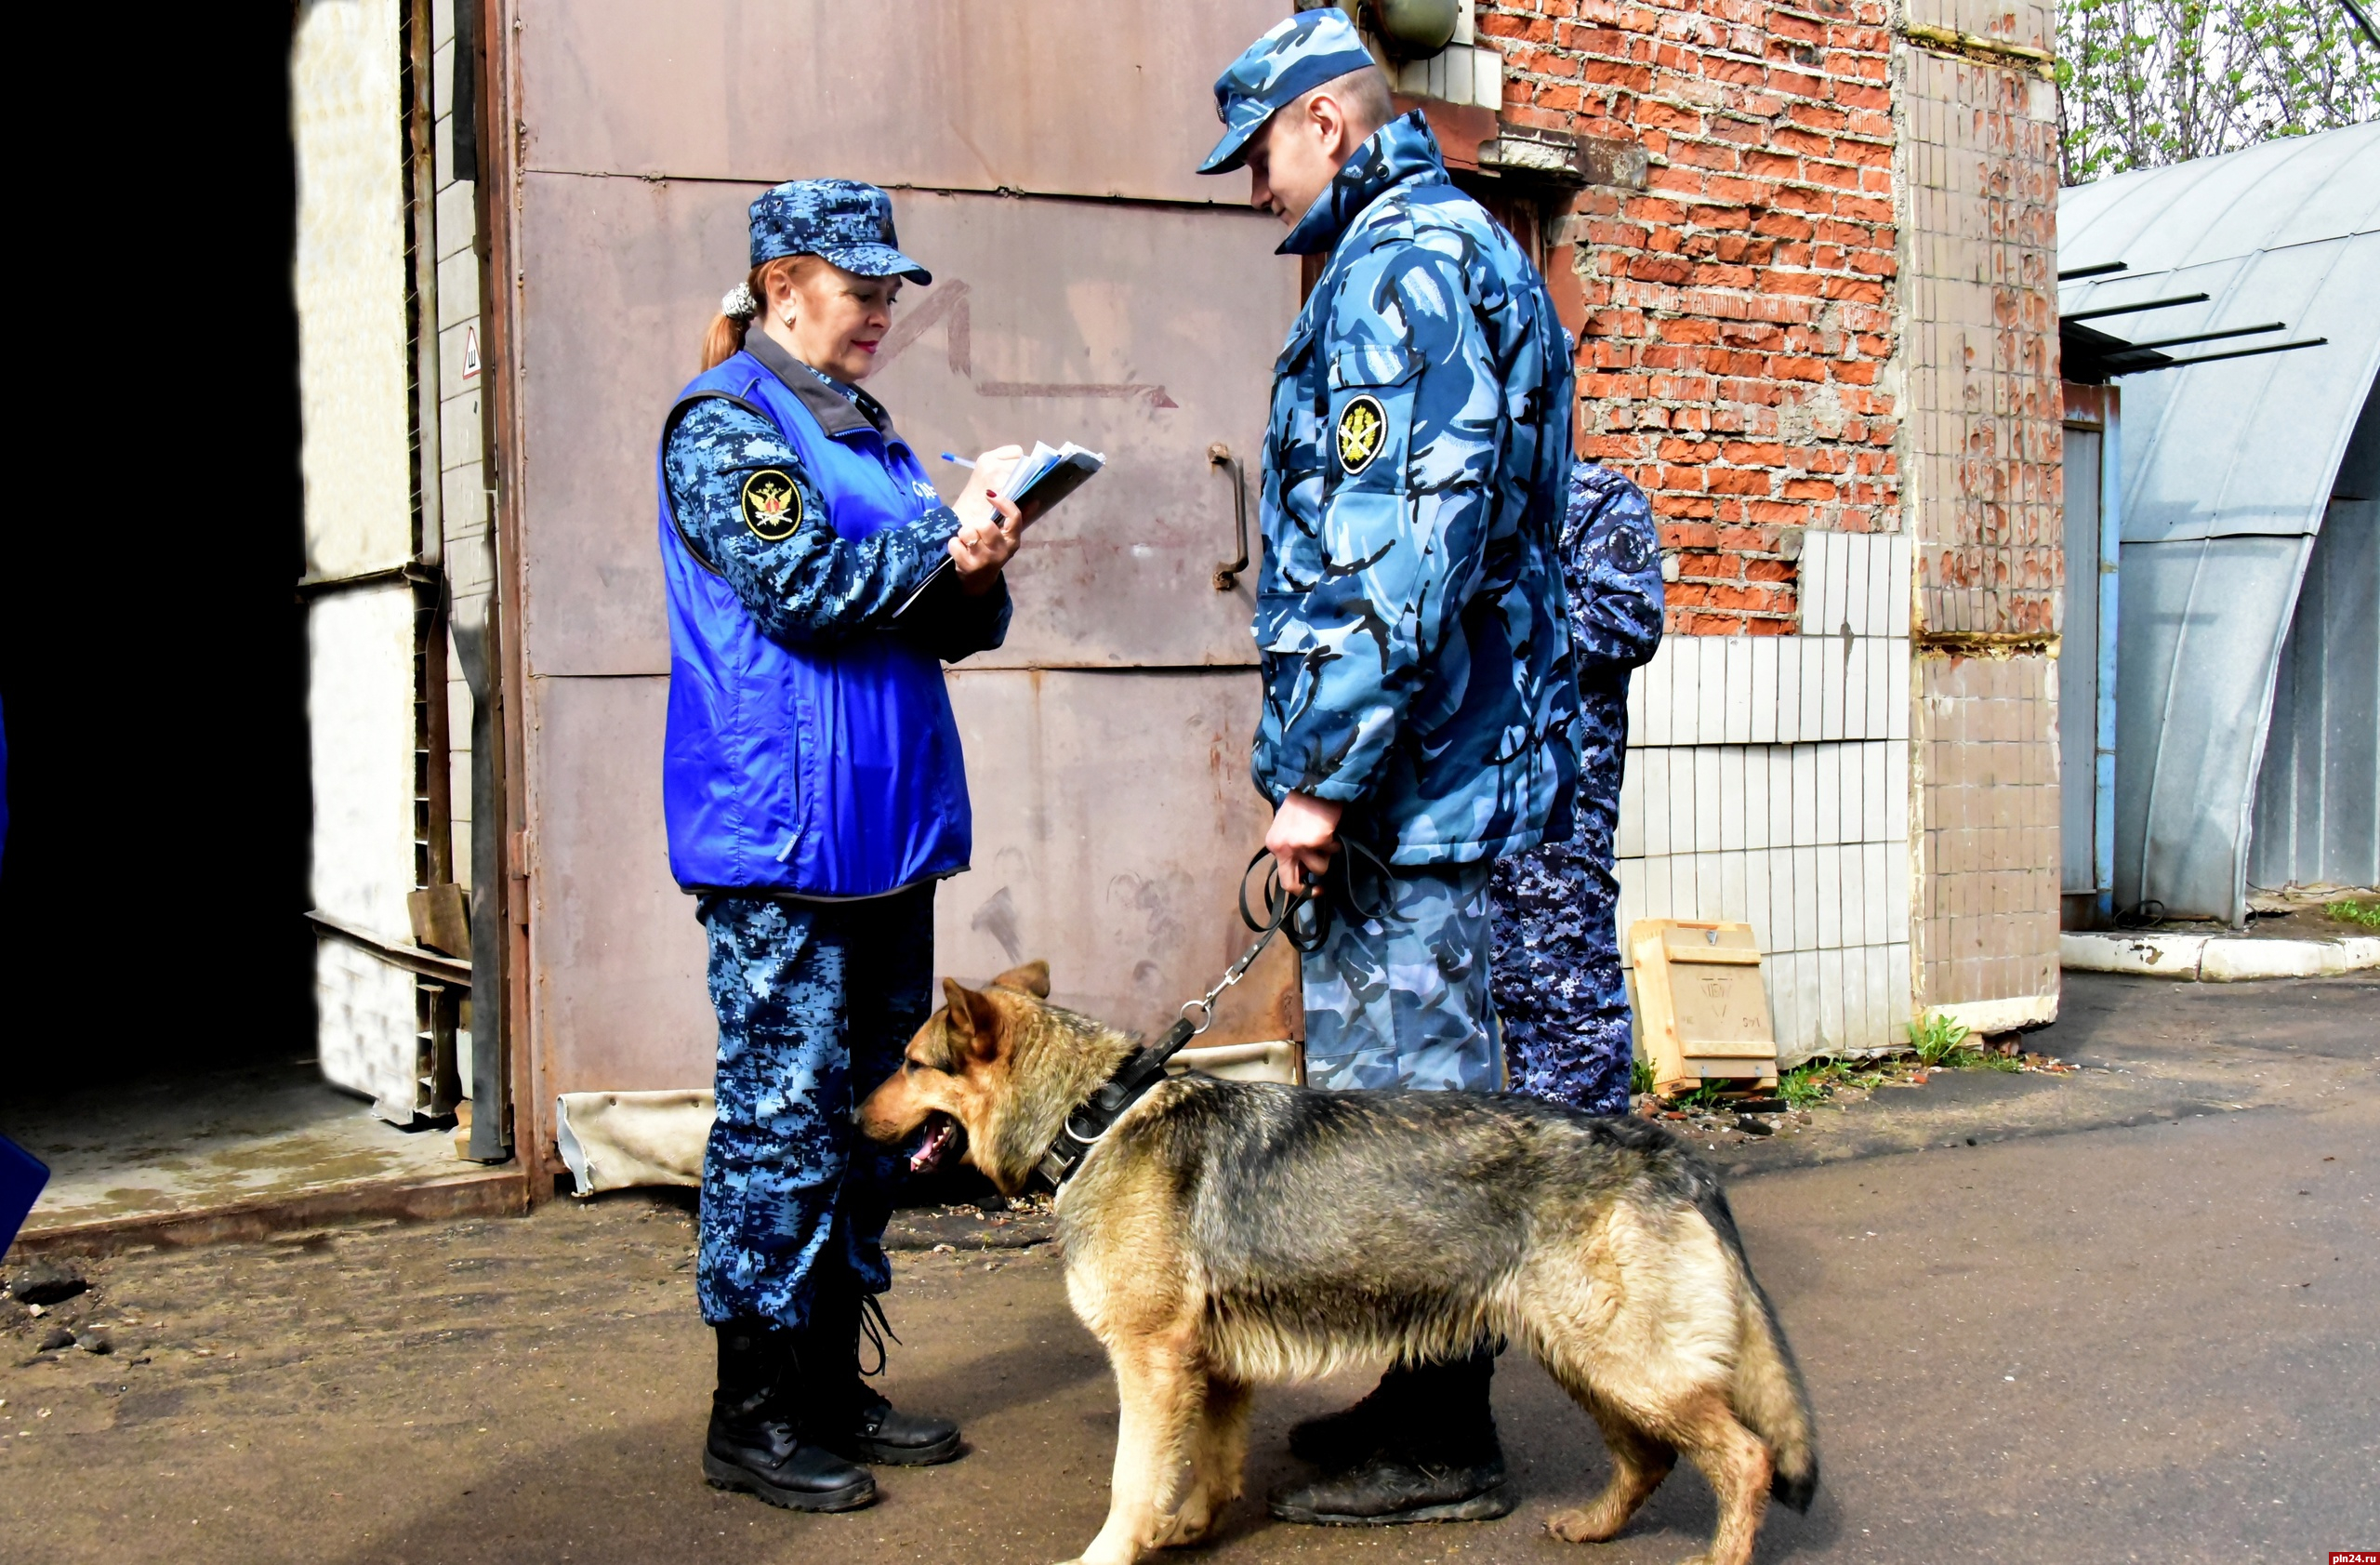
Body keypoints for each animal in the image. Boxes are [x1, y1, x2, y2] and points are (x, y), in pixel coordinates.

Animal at [866, 957, 1808, 1562]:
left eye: (910, 1063)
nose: (846, 1112)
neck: (1093, 1114)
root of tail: (1670, 1150)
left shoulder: (1152, 1361)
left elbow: (1134, 1481)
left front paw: (1112, 1554)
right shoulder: (1214, 1367)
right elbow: (1211, 1468)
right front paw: (1191, 1530)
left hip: (1629, 1365)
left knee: (1746, 1459)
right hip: (1593, 1360)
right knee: (1652, 1458)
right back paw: (1593, 1526)